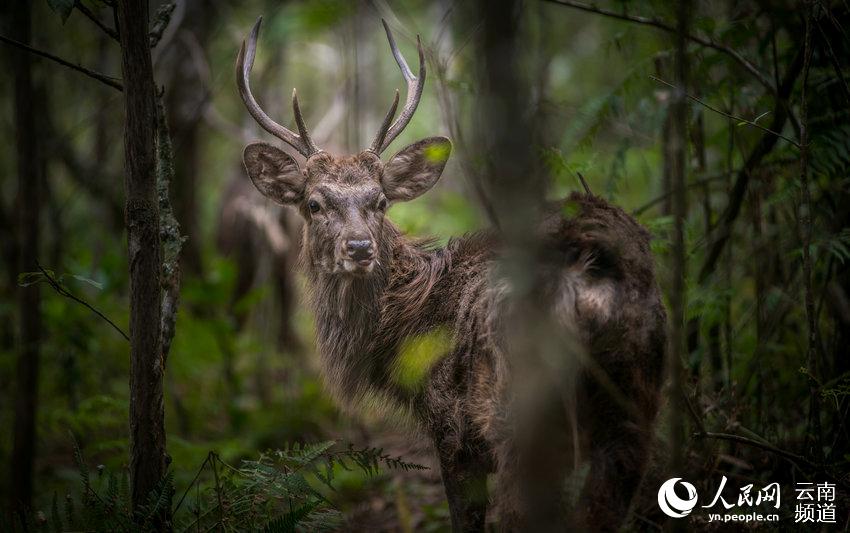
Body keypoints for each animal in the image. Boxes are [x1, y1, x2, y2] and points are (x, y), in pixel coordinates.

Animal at [235, 17, 664, 532]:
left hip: (516, 413)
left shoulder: (452, 429)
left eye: (381, 201)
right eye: (314, 203)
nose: (359, 248)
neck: (406, 321)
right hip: (637, 402)